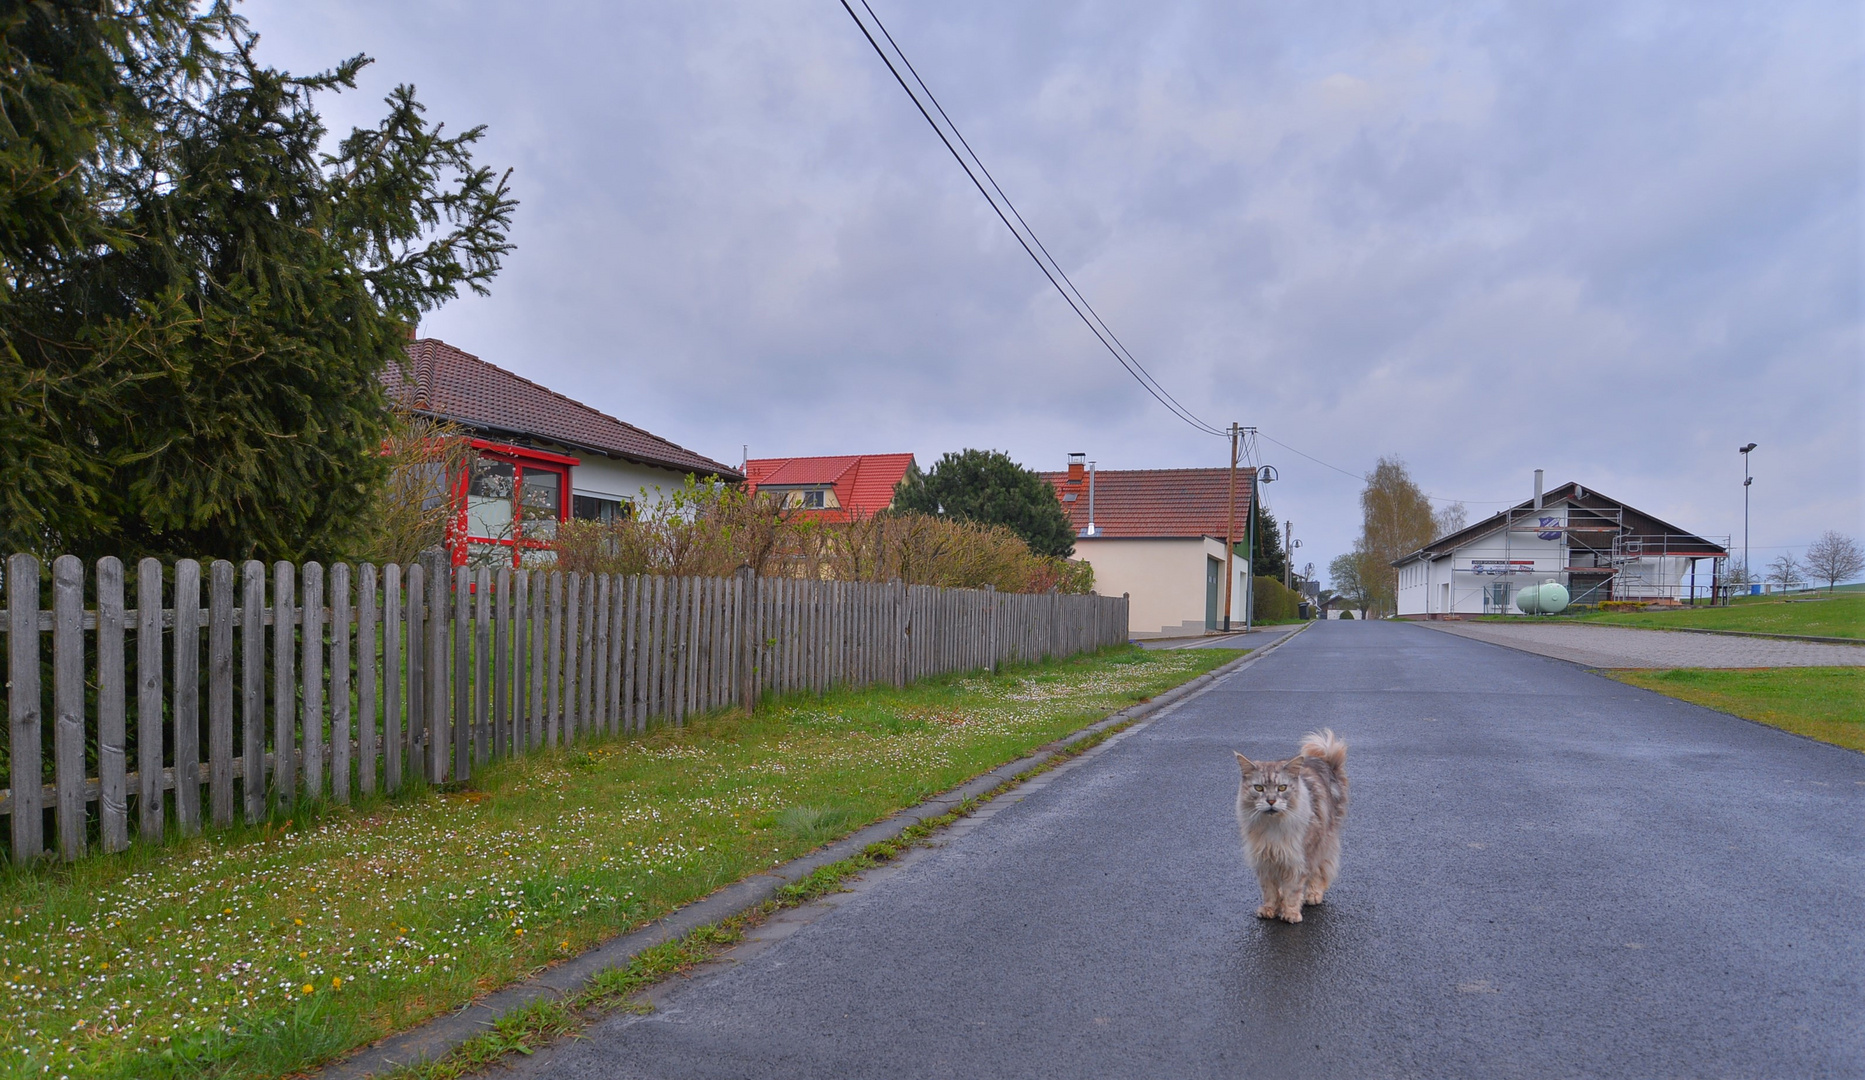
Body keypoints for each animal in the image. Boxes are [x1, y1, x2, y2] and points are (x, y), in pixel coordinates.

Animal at [1230, 731, 1350, 925]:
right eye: (1259, 788)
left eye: (1282, 787)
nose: (1271, 801)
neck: (1272, 827)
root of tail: (1325, 762)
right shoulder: (1265, 860)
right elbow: (1269, 890)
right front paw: (1270, 909)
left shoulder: (1298, 860)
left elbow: (1293, 890)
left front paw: (1290, 913)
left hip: (1323, 843)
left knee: (1320, 871)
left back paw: (1313, 895)